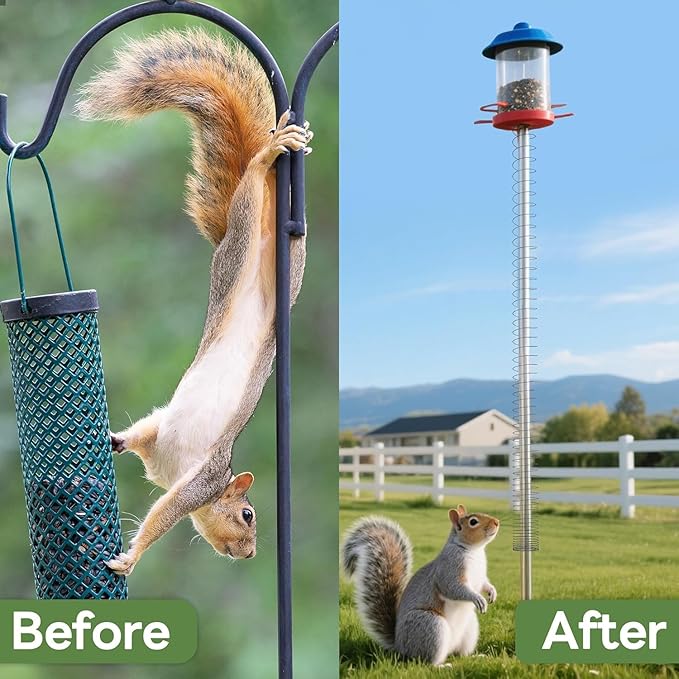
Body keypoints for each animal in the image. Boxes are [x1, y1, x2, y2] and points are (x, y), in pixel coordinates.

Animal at [75, 29, 313, 576]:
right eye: (248, 515)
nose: (248, 554)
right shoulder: (196, 485)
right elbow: (164, 512)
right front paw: (133, 557)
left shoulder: (165, 442)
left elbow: (145, 434)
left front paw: (116, 441)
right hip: (245, 244)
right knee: (252, 186)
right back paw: (269, 153)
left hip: (278, 266)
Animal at [341, 505, 499, 665]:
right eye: (473, 522)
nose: (497, 522)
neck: (473, 550)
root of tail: (399, 646)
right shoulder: (449, 568)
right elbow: (453, 587)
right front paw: (478, 598)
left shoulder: (480, 576)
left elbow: (484, 584)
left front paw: (492, 592)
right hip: (430, 625)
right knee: (426, 661)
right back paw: (441, 666)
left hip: (469, 629)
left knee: (461, 654)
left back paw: (474, 657)